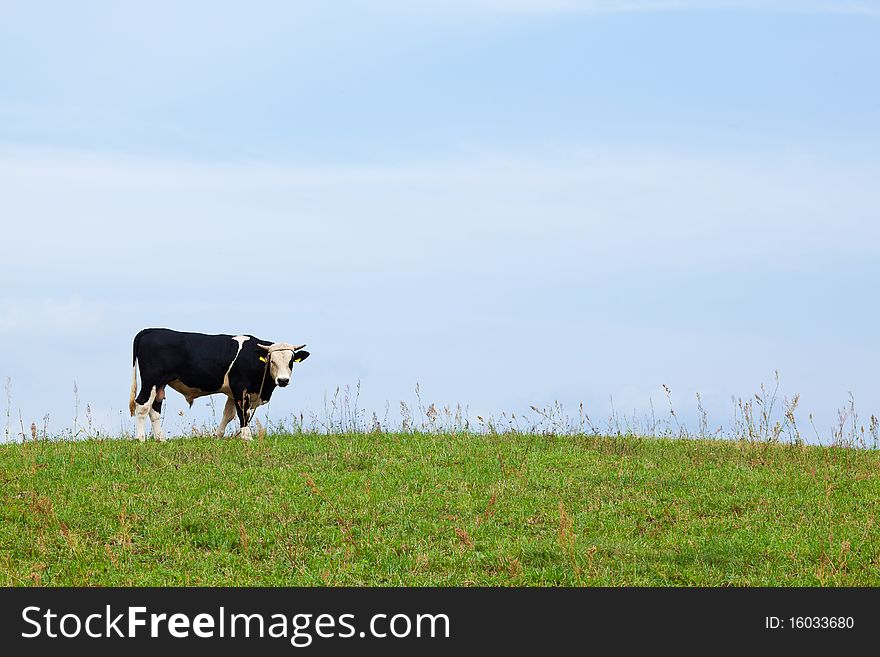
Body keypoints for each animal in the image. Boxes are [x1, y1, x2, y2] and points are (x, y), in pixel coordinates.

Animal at [129, 328, 310, 440]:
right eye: (272, 361)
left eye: (291, 361)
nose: (283, 380)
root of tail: (153, 330)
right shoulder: (240, 388)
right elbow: (242, 413)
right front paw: (247, 437)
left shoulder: (232, 392)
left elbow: (228, 414)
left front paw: (218, 436)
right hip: (151, 380)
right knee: (142, 405)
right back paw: (141, 439)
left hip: (160, 384)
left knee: (154, 408)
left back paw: (161, 439)